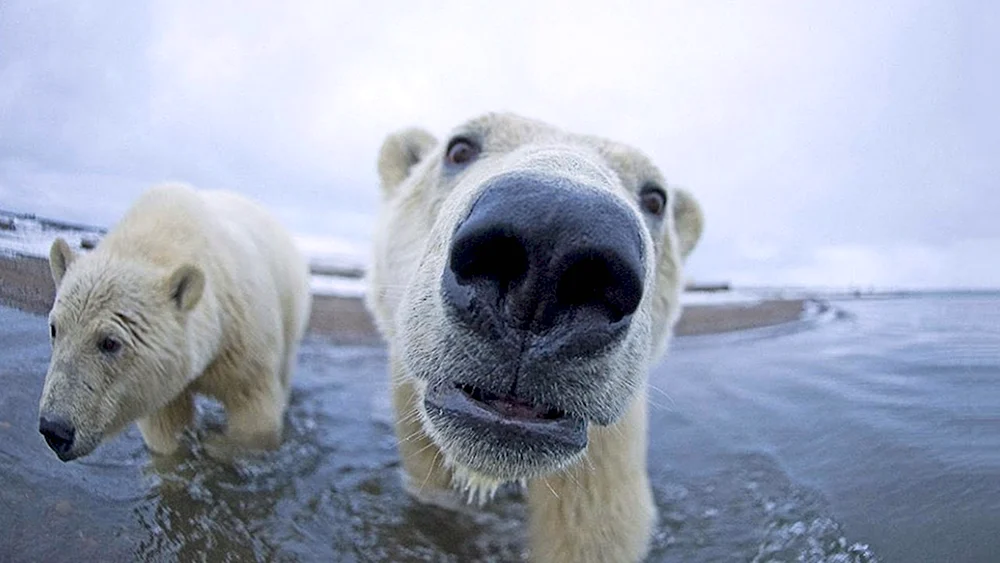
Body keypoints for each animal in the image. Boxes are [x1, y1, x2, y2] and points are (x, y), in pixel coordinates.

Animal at [38, 184, 312, 462]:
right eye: (54, 329)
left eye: (110, 342)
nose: (55, 430)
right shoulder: (158, 382)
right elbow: (166, 432)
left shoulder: (242, 338)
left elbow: (254, 412)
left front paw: (215, 446)